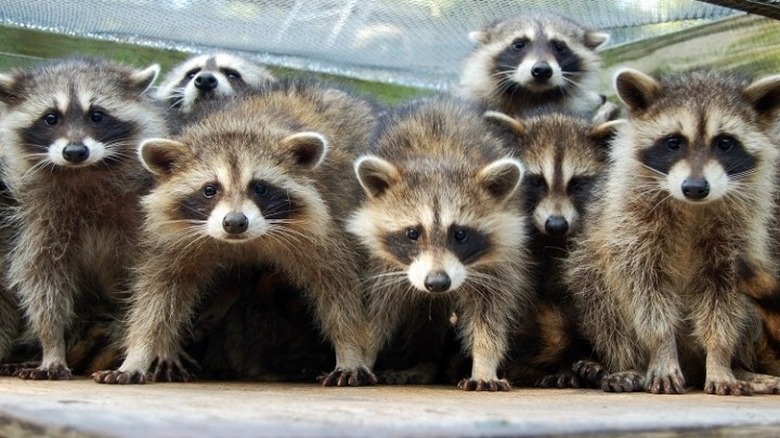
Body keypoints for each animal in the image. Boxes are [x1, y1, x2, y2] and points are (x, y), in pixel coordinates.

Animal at [0, 57, 167, 380]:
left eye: (97, 115)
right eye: (51, 118)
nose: (75, 151)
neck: (83, 173)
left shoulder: (140, 215)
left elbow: (152, 284)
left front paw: (141, 350)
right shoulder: (39, 219)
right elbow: (43, 280)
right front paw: (51, 345)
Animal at [92, 80, 379, 386]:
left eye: (260, 187)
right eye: (210, 189)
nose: (235, 222)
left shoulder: (327, 226)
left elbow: (340, 290)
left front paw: (350, 350)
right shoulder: (175, 236)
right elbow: (158, 293)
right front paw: (139, 353)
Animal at [349, 98, 531, 391]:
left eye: (460, 234)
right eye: (412, 233)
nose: (437, 283)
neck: (438, 158)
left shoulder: (500, 259)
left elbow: (490, 312)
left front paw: (484, 361)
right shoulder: (381, 263)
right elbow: (376, 311)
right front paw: (361, 356)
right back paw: (422, 362)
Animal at [566, 68, 780, 395]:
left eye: (725, 143)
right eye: (674, 142)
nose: (695, 187)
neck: (692, 206)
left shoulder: (739, 236)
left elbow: (725, 302)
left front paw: (720, 357)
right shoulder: (631, 227)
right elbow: (644, 291)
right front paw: (662, 349)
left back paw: (742, 368)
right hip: (589, 269)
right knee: (601, 298)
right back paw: (628, 365)